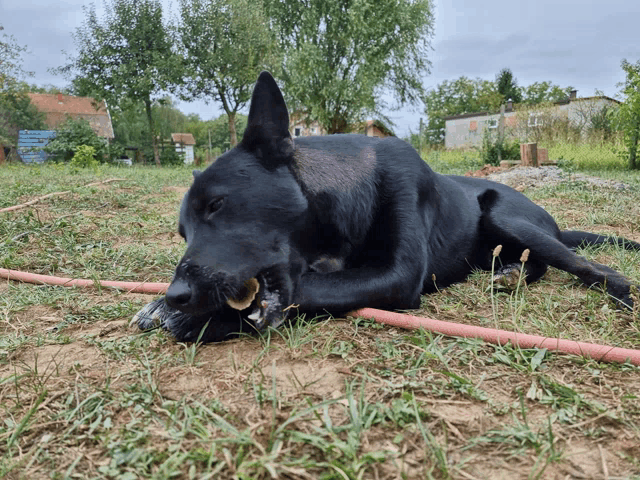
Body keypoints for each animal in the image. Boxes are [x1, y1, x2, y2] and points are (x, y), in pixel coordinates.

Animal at [132, 70, 636, 342]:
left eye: (217, 205)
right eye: (183, 232)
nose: (177, 294)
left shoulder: (399, 276)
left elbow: (306, 290)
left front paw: (199, 318)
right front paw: (162, 306)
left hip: (503, 213)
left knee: (594, 267)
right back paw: (510, 273)